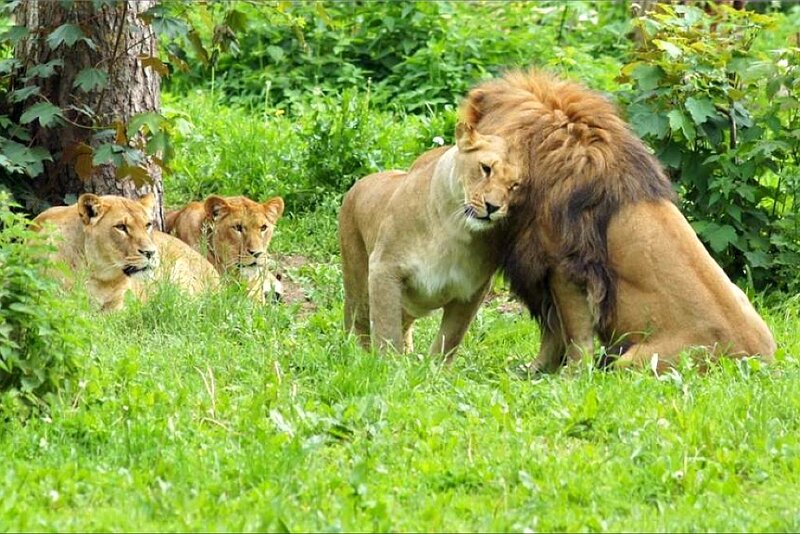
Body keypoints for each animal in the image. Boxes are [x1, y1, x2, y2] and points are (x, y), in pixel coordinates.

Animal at [339, 123, 519, 357]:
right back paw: (357, 354)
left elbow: (449, 339)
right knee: (357, 319)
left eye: (515, 185)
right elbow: (387, 331)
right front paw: (386, 363)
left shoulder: (472, 290)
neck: (454, 230)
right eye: (485, 168)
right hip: (358, 282)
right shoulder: (385, 268)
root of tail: (358, 184)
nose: (493, 207)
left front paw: (431, 366)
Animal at [459, 69, 775, 371]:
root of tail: (761, 361)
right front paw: (533, 372)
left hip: (634, 361)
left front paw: (571, 377)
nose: (490, 207)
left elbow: (574, 335)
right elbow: (553, 333)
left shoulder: (565, 265)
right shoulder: (545, 272)